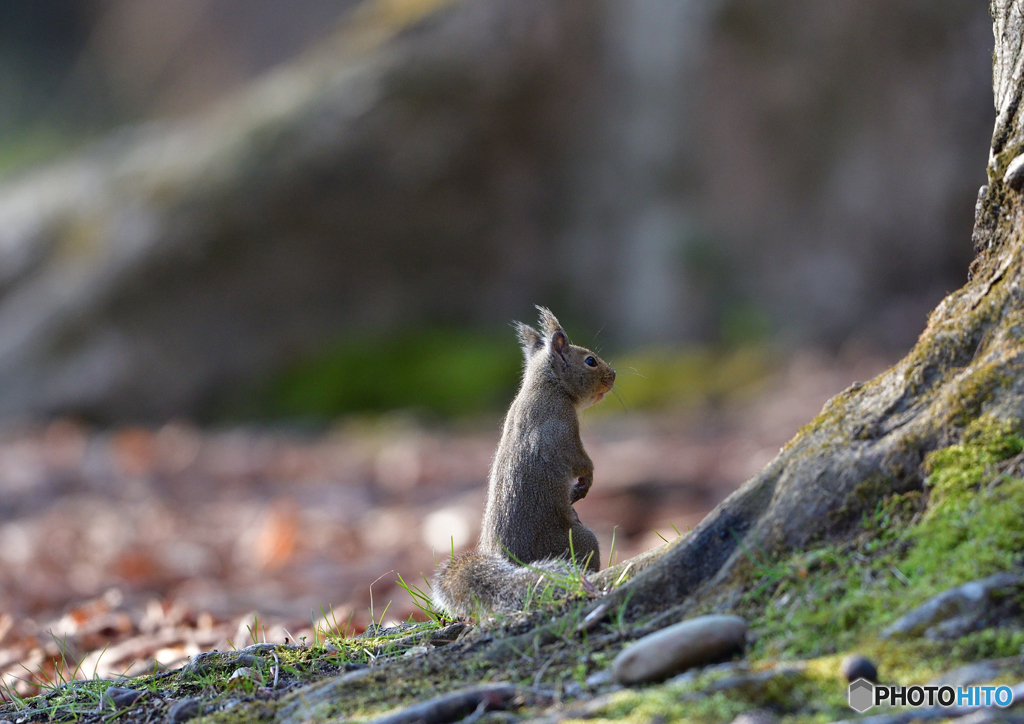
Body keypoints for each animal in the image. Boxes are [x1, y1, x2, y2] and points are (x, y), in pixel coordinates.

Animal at [432, 305, 614, 618]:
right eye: (590, 361)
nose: (613, 375)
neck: (546, 387)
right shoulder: (562, 431)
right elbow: (580, 460)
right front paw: (586, 481)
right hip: (580, 541)